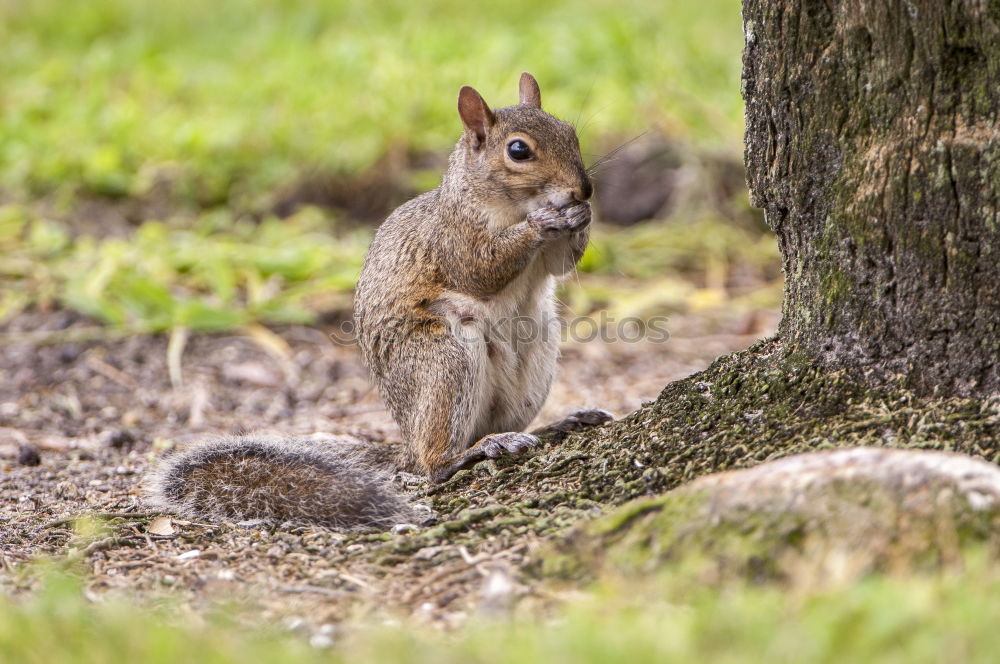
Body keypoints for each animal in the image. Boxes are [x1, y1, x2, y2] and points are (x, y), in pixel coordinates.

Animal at [141, 72, 608, 528]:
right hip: (443, 357)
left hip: (537, 358)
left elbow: (560, 265)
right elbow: (479, 269)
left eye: (570, 132)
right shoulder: (452, 238)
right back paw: (477, 449)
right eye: (518, 151)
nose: (583, 190)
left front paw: (581, 218)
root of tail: (405, 442)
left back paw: (555, 426)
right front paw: (542, 221)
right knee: (432, 463)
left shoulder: (547, 260)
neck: (508, 204)